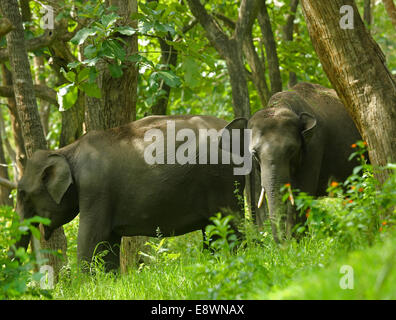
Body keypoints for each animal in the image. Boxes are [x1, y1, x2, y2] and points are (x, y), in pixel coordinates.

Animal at [15, 115, 248, 270]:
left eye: (23, 194)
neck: (67, 150)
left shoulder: (95, 190)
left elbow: (91, 238)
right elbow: (109, 242)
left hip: (222, 181)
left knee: (232, 225)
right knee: (213, 230)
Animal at [244, 82, 362, 242]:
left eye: (292, 150)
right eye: (255, 153)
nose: (280, 243)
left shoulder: (314, 146)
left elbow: (301, 193)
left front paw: (296, 243)